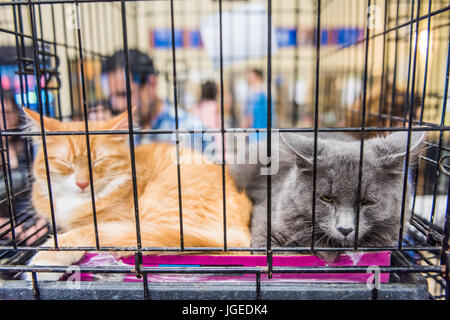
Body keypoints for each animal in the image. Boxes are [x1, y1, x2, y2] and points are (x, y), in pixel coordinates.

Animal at [22, 108, 251, 280]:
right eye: (65, 163)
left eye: (98, 161)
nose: (82, 183)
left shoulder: (118, 222)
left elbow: (83, 233)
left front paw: (48, 258)